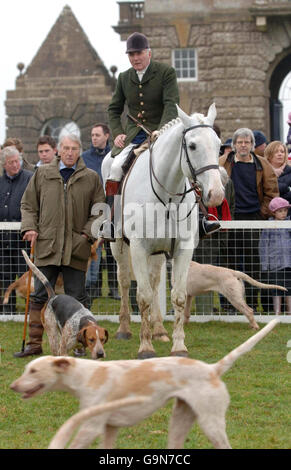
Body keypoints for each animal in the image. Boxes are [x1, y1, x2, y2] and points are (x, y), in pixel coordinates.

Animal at [10, 320, 280, 448]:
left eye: (33, 370)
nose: (12, 387)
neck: (86, 374)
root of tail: (211, 368)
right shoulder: (109, 428)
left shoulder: (91, 428)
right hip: (180, 421)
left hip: (211, 423)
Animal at [101, 103, 225, 360]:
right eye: (192, 145)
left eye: (219, 145)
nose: (216, 194)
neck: (167, 196)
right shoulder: (138, 248)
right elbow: (143, 296)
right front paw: (145, 347)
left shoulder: (183, 249)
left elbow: (177, 296)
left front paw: (178, 346)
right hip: (119, 246)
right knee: (124, 281)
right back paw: (124, 328)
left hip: (157, 253)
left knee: (155, 280)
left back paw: (158, 329)